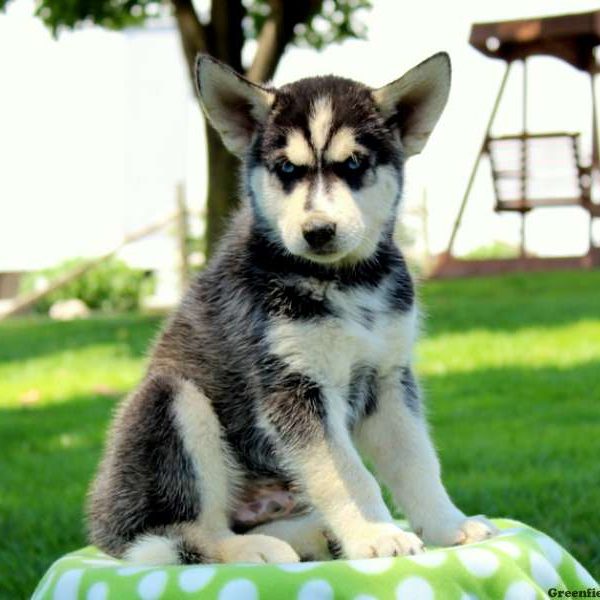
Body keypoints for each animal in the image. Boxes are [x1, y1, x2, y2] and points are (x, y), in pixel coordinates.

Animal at [88, 51, 496, 564]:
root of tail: (102, 529)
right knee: (184, 531)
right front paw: (375, 534)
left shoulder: (387, 378)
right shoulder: (293, 387)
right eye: (286, 169)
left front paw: (449, 525)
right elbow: (347, 475)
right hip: (171, 401)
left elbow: (418, 462)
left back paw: (313, 537)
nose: (317, 231)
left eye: (353, 163)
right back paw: (251, 549)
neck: (345, 283)